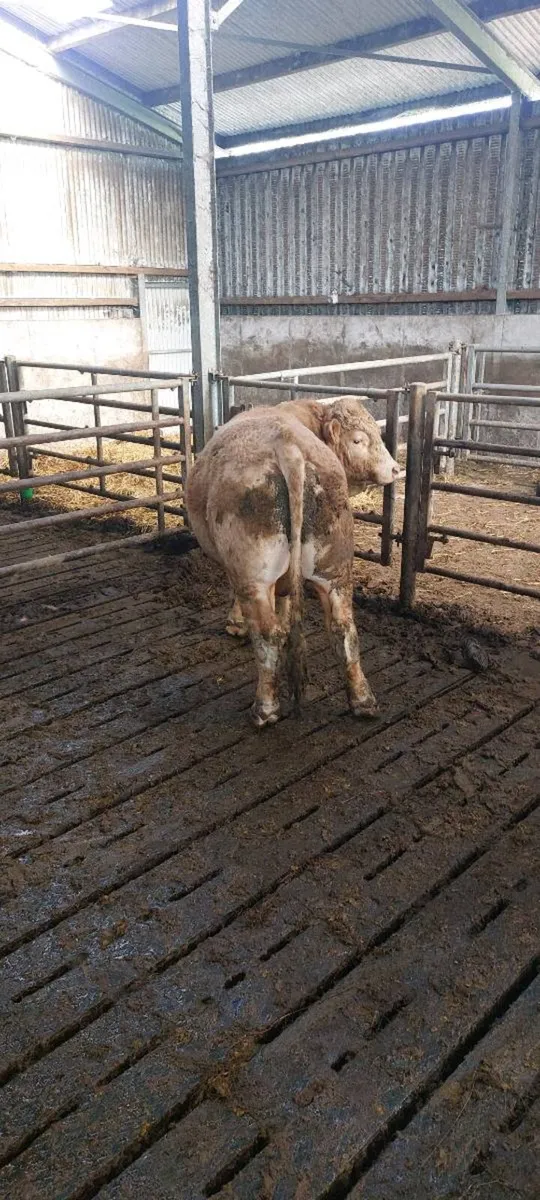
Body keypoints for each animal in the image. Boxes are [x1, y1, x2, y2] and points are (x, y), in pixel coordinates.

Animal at [186, 396, 401, 728]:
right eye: (358, 440)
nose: (395, 469)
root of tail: (288, 446)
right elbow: (287, 602)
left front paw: (235, 624)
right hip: (334, 568)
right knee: (343, 629)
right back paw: (363, 701)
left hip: (253, 574)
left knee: (267, 634)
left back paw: (265, 709)